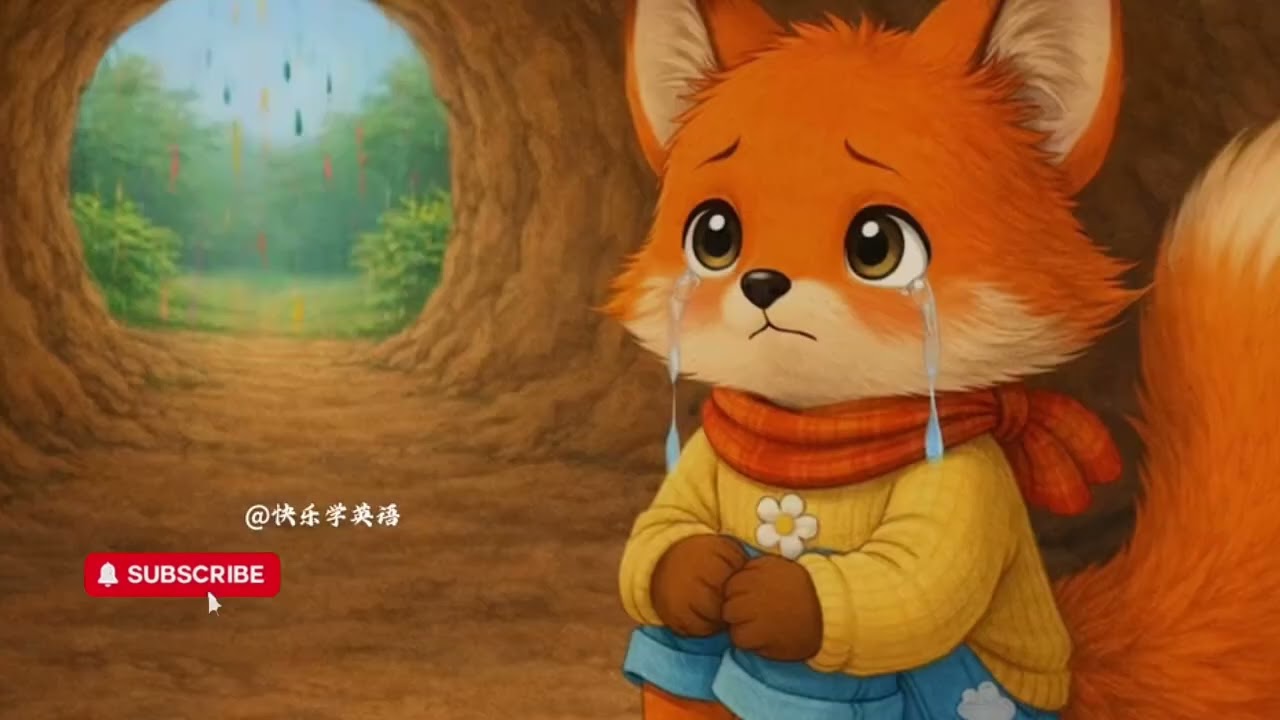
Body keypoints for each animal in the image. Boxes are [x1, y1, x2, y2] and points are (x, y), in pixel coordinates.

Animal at [606, 0, 1280, 719]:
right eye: (715, 236)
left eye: (877, 245)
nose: (761, 283)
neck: (813, 441)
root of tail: (1075, 678)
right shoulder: (700, 464)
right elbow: (660, 535)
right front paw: (693, 572)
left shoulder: (967, 488)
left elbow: (918, 584)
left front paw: (778, 600)